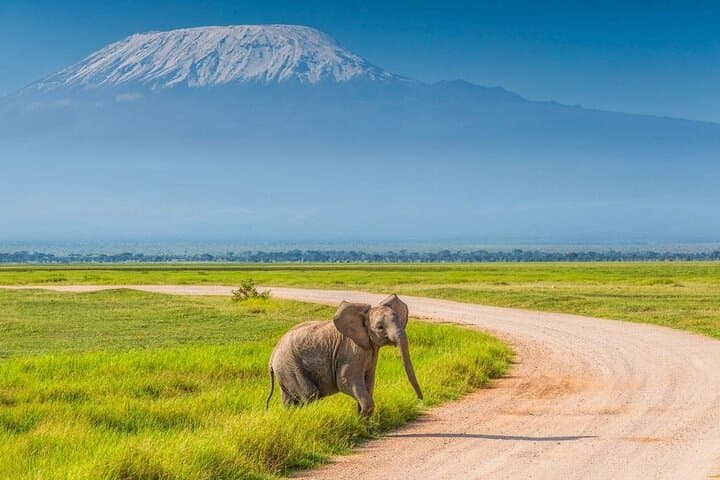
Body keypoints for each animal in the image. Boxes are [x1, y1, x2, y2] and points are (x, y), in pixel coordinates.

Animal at [265, 294, 423, 417]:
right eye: (380, 327)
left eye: (401, 321)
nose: (419, 400)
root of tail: (272, 356)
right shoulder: (350, 351)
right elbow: (346, 382)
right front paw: (361, 420)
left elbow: (368, 382)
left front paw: (361, 421)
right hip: (290, 367)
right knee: (310, 395)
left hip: (285, 370)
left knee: (289, 400)